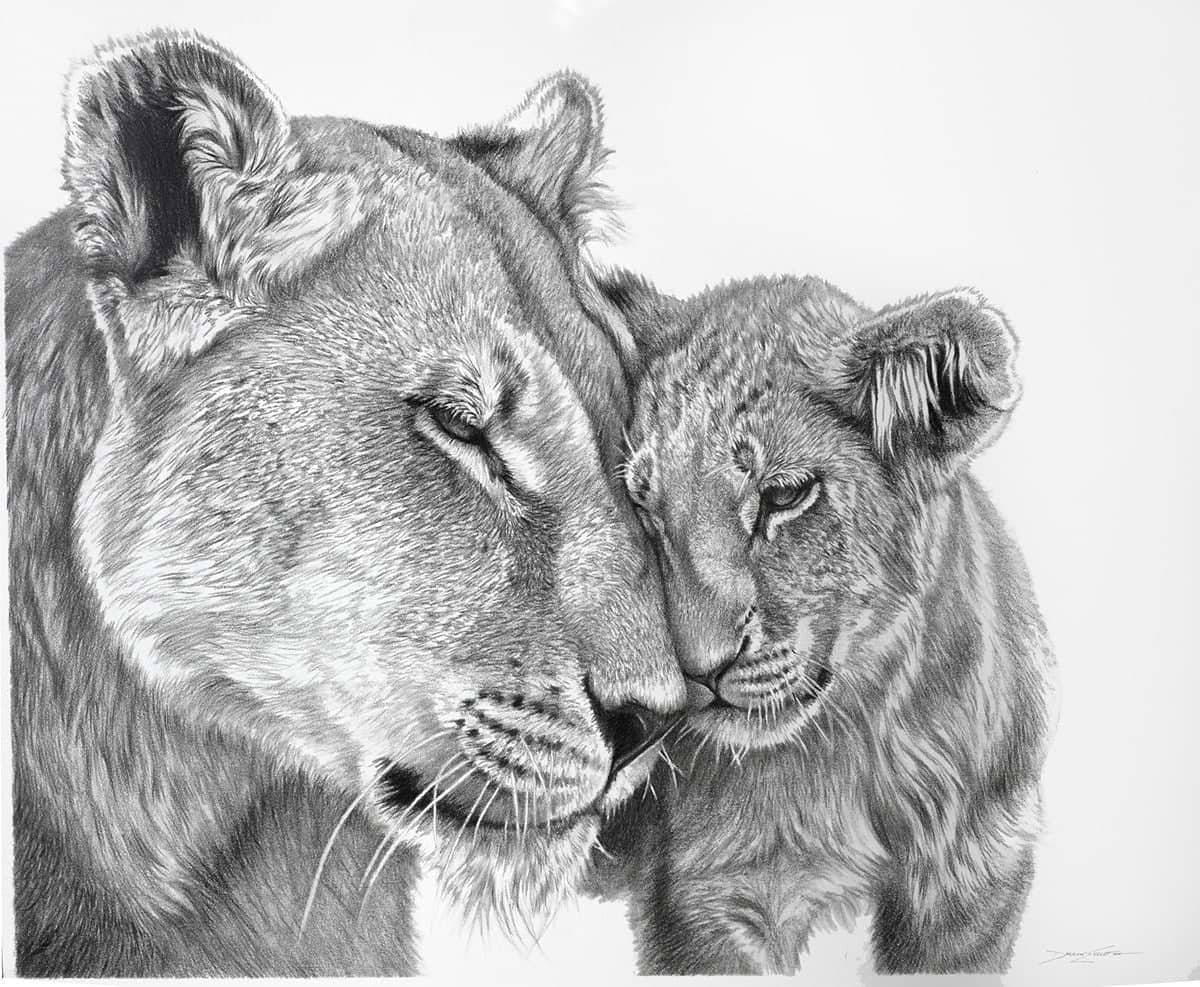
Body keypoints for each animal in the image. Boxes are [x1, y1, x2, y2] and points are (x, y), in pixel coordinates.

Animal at [586, 271, 1058, 974]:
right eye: (646, 508)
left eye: (785, 495)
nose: (698, 672)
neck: (862, 745)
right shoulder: (708, 897)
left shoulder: (976, 877)